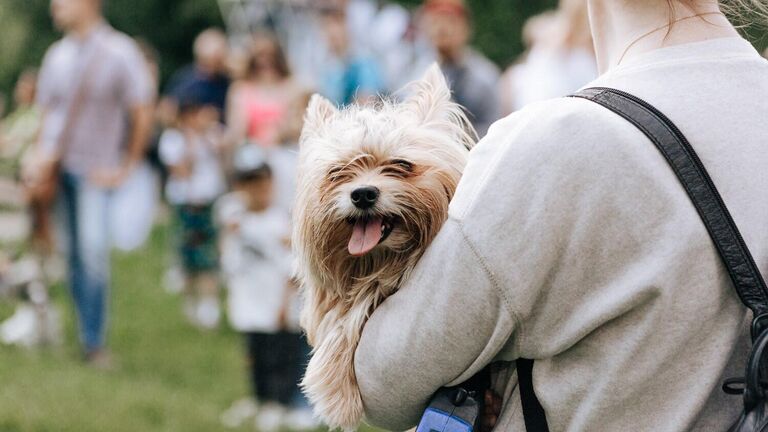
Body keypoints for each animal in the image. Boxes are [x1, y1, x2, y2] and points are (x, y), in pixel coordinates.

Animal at [292, 65, 474, 432]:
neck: (382, 258)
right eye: (338, 172)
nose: (362, 194)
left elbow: (361, 300)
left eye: (401, 164)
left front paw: (336, 391)